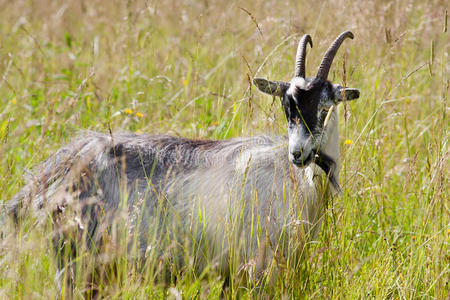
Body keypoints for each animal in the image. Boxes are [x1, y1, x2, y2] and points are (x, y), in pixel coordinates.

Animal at [5, 29, 360, 284]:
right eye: (287, 108)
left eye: (326, 107)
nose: (298, 154)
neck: (295, 183)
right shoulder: (256, 269)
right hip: (76, 260)